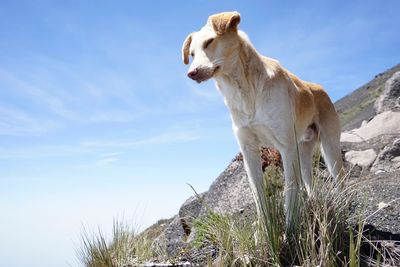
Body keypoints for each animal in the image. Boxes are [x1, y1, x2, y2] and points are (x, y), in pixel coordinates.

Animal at [183, 12, 342, 226]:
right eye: (191, 54)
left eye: (209, 42)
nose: (191, 73)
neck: (244, 90)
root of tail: (320, 88)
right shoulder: (249, 150)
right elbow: (259, 196)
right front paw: (265, 229)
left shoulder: (286, 148)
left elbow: (290, 191)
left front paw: (291, 228)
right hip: (303, 151)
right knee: (309, 184)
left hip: (329, 148)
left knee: (340, 177)